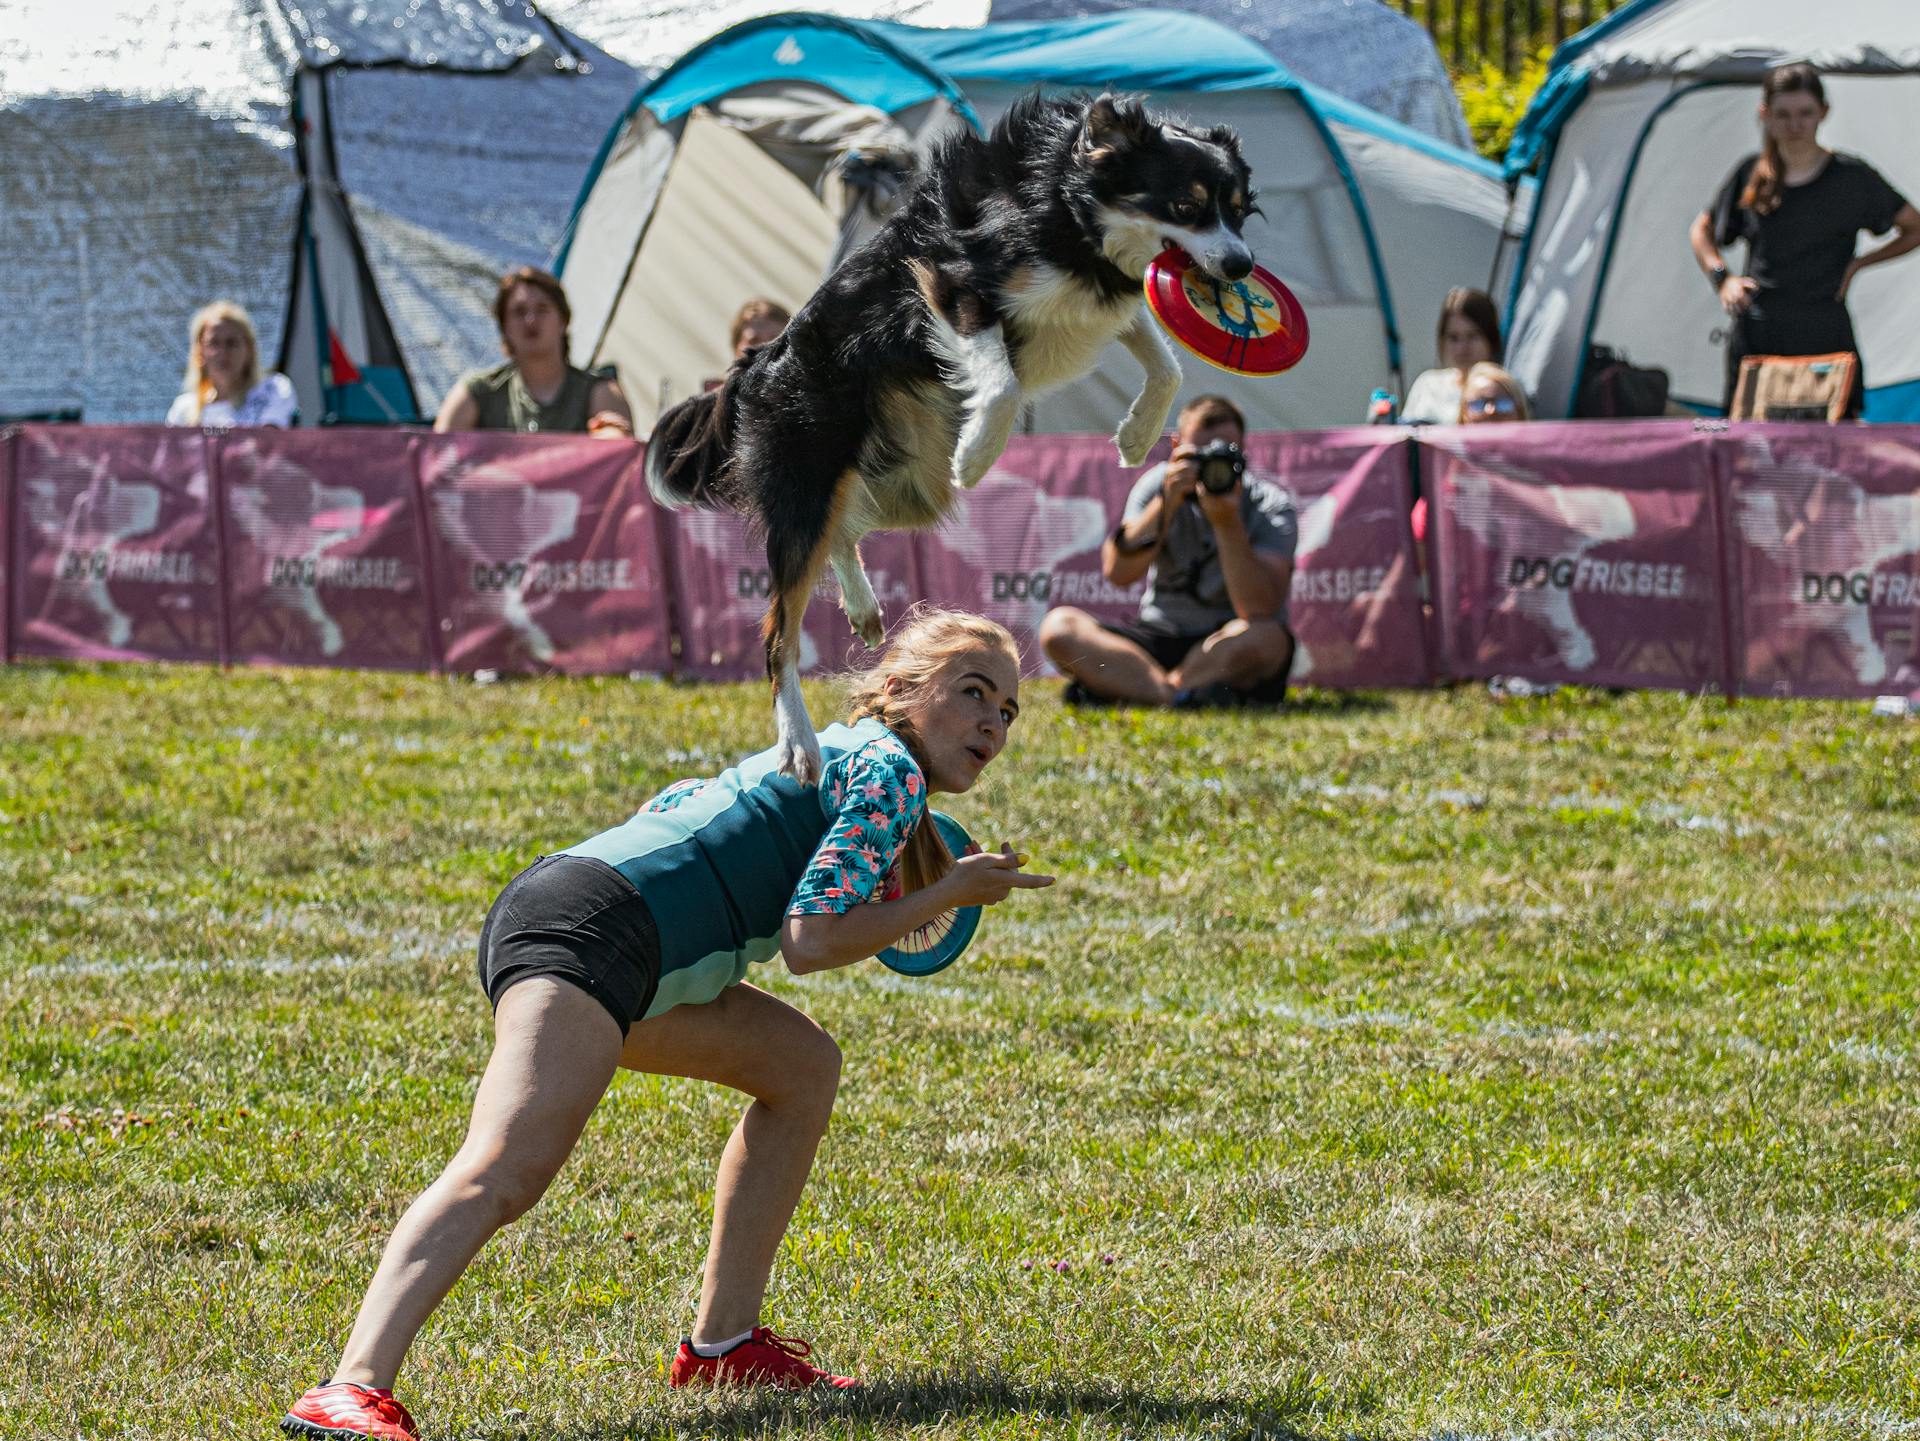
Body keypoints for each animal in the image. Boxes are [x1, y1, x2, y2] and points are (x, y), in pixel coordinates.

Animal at [652, 95, 1259, 782]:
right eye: (1186, 205)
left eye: (1240, 210)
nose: (1241, 265)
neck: (1067, 206)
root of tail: (757, 362)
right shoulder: (952, 280)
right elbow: (1002, 383)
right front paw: (977, 452)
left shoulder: (1094, 305)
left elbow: (1168, 364)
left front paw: (1135, 436)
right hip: (811, 468)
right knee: (780, 629)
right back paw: (798, 742)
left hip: (905, 488)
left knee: (843, 531)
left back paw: (862, 606)